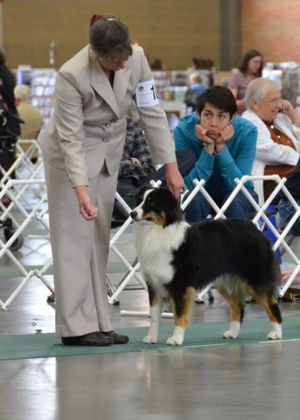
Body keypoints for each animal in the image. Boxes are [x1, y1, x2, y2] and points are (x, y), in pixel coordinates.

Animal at [130, 186, 282, 344]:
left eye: (151, 203)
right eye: (139, 200)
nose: (132, 213)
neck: (158, 231)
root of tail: (254, 228)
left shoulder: (181, 284)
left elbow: (179, 314)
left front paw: (176, 339)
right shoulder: (154, 283)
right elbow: (154, 316)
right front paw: (151, 337)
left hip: (255, 278)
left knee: (271, 304)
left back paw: (276, 333)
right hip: (226, 281)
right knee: (237, 305)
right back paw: (232, 332)